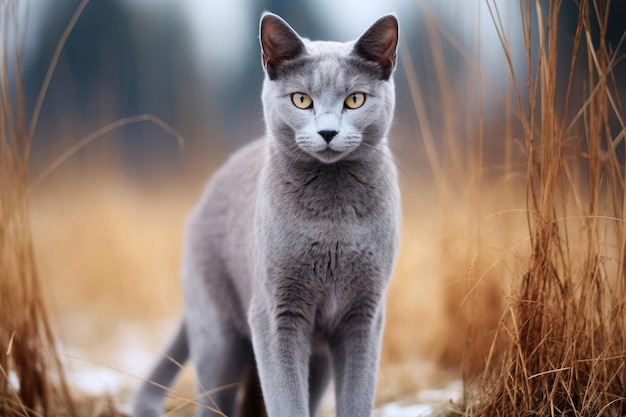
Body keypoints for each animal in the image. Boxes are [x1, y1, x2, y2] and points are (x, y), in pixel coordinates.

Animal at [133, 11, 400, 414]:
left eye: (355, 100)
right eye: (301, 99)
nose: (327, 132)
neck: (332, 219)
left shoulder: (364, 316)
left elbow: (356, 398)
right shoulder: (275, 314)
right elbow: (286, 400)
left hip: (317, 359)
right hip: (218, 336)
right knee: (215, 398)